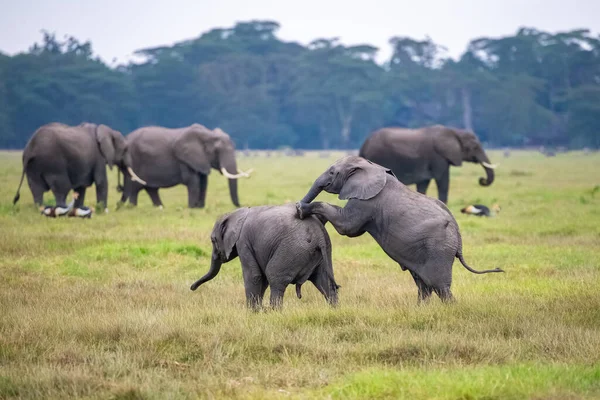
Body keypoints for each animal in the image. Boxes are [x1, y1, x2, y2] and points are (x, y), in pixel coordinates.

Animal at [12, 122, 145, 211]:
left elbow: (81, 187)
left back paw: (40, 209)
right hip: (53, 162)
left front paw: (80, 210)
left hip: (34, 165)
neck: (105, 130)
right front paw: (103, 211)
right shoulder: (98, 156)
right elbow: (101, 182)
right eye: (125, 149)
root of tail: (30, 148)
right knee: (62, 187)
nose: (117, 207)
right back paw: (62, 209)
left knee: (37, 189)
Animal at [119, 123, 253, 208]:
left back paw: (160, 207)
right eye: (217, 151)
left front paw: (199, 207)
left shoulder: (201, 160)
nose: (241, 205)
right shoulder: (185, 159)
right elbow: (193, 181)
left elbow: (204, 182)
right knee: (136, 187)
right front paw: (192, 207)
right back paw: (133, 207)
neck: (207, 134)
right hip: (135, 162)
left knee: (151, 189)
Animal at [190, 205, 340, 310]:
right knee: (325, 282)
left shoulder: (243, 241)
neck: (236, 214)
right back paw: (334, 310)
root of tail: (319, 234)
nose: (192, 288)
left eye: (212, 240)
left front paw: (253, 312)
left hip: (292, 249)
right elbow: (262, 278)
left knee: (274, 277)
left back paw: (275, 312)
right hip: (320, 254)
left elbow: (255, 276)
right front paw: (259, 310)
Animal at [298, 156, 504, 304]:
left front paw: (301, 209)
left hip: (439, 249)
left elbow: (347, 227)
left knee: (439, 286)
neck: (372, 167)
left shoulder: (367, 201)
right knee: (423, 285)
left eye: (332, 172)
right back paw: (420, 309)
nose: (298, 206)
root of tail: (459, 242)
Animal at [358, 125, 500, 205]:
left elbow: (423, 183)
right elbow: (442, 179)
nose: (482, 180)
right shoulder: (438, 157)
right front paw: (444, 203)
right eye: (475, 147)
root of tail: (363, 146)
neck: (455, 131)